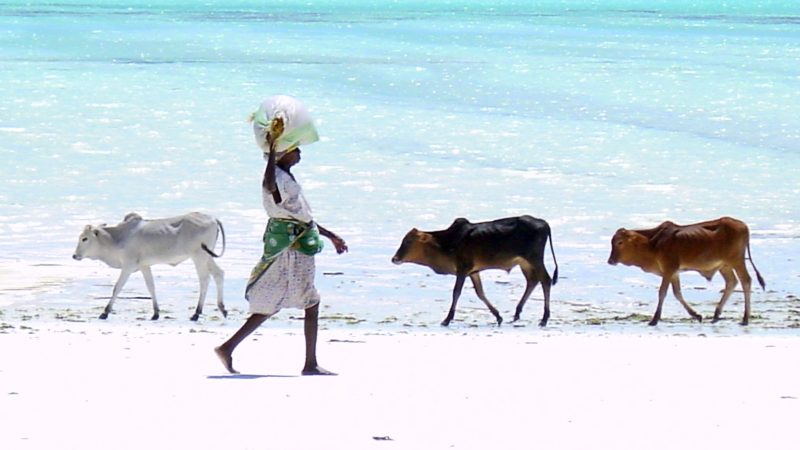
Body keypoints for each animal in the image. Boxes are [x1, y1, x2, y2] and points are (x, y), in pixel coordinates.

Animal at [74, 211, 227, 320]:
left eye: (85, 238)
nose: (75, 256)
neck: (118, 238)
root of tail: (213, 219)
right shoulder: (144, 266)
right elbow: (151, 287)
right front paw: (156, 313)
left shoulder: (128, 267)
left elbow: (117, 288)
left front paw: (105, 312)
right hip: (207, 257)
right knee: (218, 274)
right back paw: (222, 308)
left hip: (199, 257)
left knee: (204, 279)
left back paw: (196, 313)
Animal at [392, 215, 556, 326]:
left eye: (408, 241)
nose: (394, 258)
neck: (445, 243)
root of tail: (544, 223)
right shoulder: (473, 272)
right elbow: (480, 292)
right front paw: (498, 316)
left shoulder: (462, 270)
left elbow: (456, 292)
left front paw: (447, 319)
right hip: (525, 263)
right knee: (532, 281)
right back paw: (517, 313)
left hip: (535, 260)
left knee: (546, 280)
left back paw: (544, 319)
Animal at [608, 216, 764, 326]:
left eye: (620, 242)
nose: (610, 261)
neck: (652, 243)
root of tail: (743, 225)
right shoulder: (674, 273)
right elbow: (677, 293)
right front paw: (696, 315)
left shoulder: (668, 270)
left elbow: (662, 293)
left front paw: (654, 319)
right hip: (724, 265)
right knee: (731, 282)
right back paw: (716, 314)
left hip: (737, 261)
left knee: (746, 281)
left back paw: (745, 318)